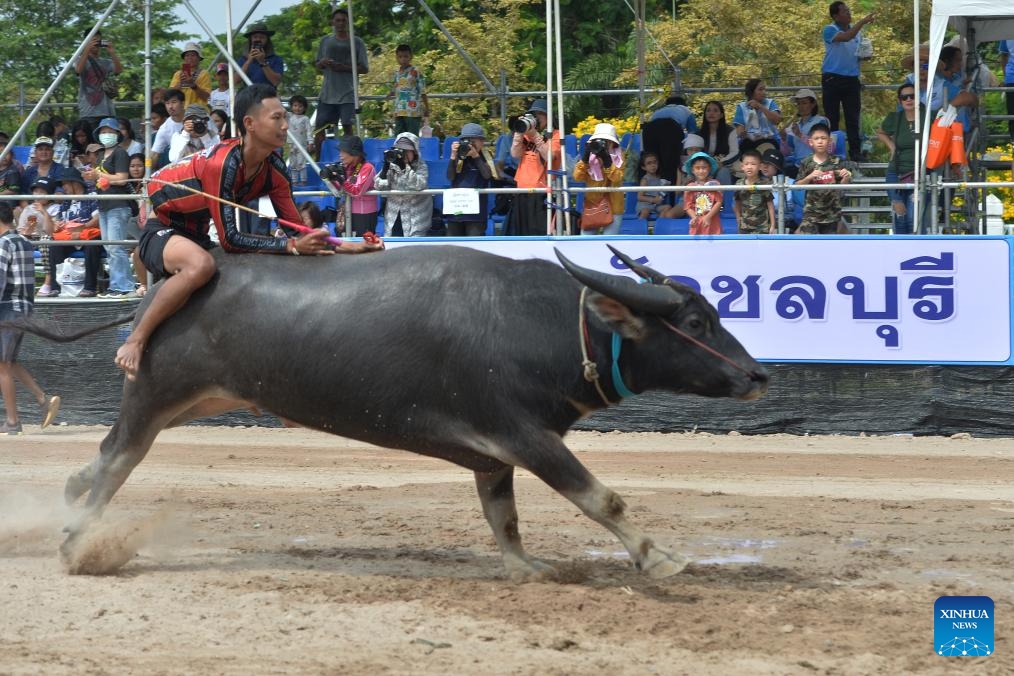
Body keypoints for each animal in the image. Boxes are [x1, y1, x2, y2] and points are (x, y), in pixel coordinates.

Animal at [9, 244, 766, 583]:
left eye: (714, 310)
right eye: (695, 320)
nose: (757, 374)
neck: (539, 325)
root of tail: (159, 291)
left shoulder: (492, 455)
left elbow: (504, 518)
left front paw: (526, 568)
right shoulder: (526, 436)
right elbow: (601, 498)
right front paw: (659, 556)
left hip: (197, 401)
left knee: (100, 462)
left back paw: (73, 507)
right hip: (153, 396)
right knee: (114, 461)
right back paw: (77, 542)